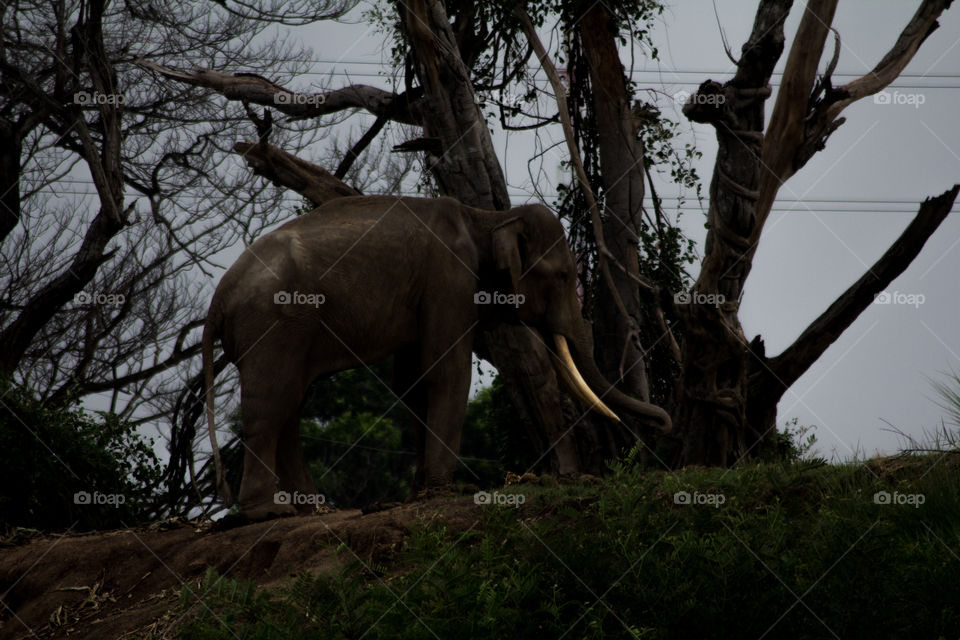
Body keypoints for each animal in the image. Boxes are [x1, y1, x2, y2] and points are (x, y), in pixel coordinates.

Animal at [202, 195, 671, 521]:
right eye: (562, 276)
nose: (664, 423)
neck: (486, 218)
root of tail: (218, 299)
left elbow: (411, 380)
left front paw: (421, 490)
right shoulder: (449, 279)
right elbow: (446, 369)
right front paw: (449, 490)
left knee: (290, 404)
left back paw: (314, 509)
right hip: (274, 324)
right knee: (272, 403)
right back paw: (268, 513)